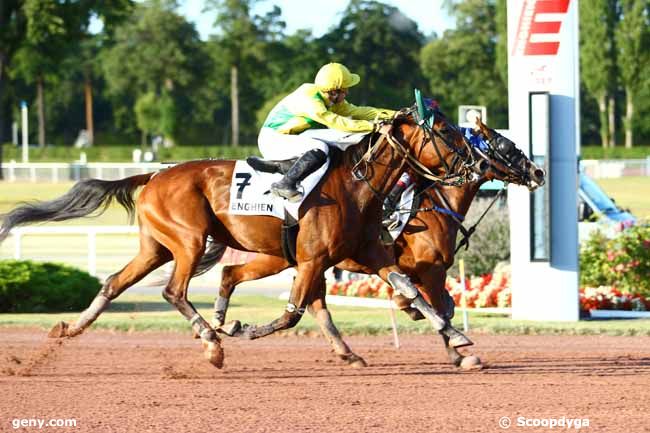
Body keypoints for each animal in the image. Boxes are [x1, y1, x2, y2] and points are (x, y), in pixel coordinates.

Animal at [0, 105, 478, 368]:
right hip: (188, 241)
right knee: (174, 292)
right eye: (445, 131)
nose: (472, 164)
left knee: (116, 282)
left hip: (156, 248)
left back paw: (69, 328)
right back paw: (212, 342)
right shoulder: (312, 260)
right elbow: (291, 314)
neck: (354, 184)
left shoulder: (367, 255)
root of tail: (153, 174)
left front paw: (459, 340)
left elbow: (413, 294)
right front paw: (240, 329)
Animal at [205, 118, 544, 368]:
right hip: (304, 260)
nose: (538, 172)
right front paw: (458, 354)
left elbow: (433, 303)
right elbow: (440, 307)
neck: (435, 204)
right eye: (507, 146)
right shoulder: (431, 270)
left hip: (291, 258)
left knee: (301, 299)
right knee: (307, 302)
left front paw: (419, 315)